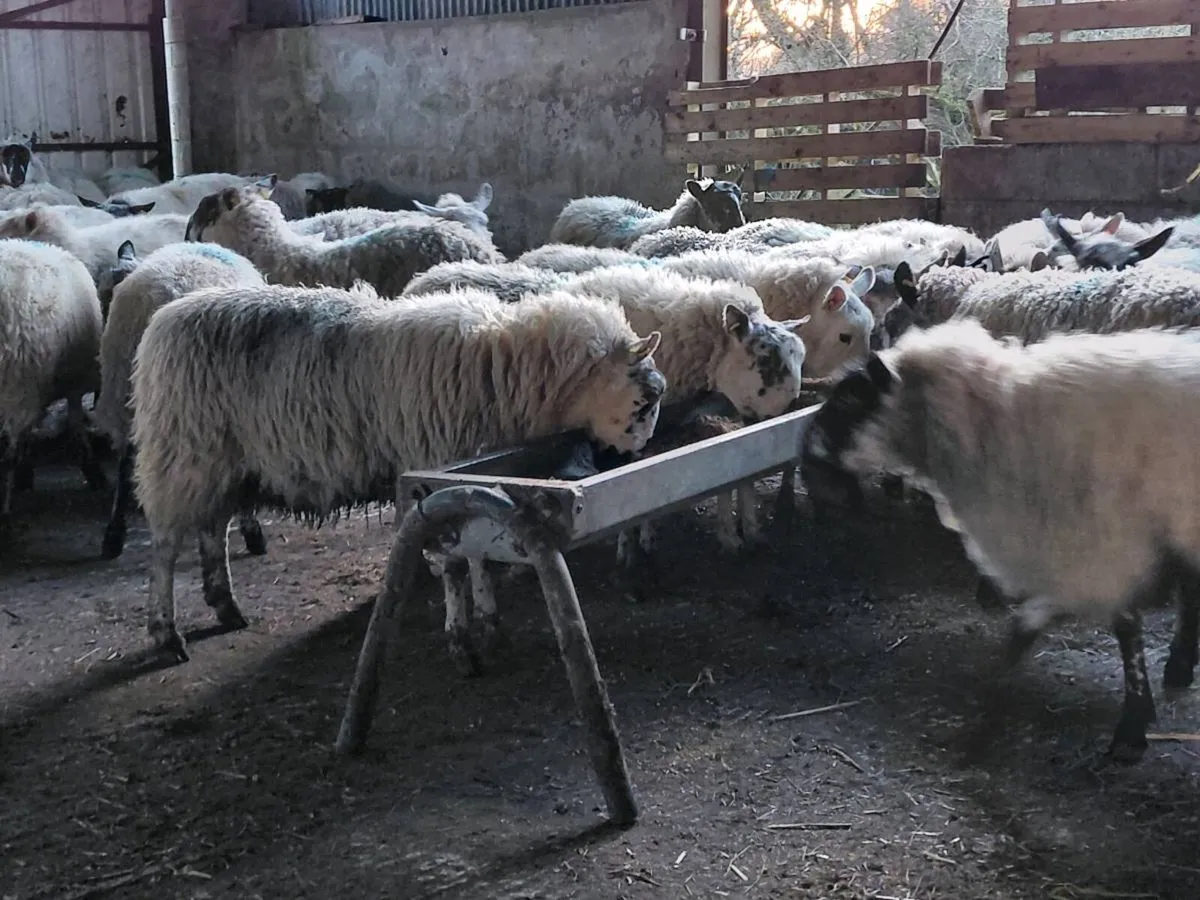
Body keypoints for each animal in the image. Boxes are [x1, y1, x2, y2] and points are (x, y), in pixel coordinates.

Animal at [129, 282, 666, 663]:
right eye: (645, 400)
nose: (632, 456)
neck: (507, 369)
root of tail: (164, 319)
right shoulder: (435, 470)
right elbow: (455, 564)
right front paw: (462, 640)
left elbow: (482, 556)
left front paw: (488, 621)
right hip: (183, 453)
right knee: (165, 546)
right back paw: (165, 632)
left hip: (223, 464)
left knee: (211, 529)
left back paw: (225, 605)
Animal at [800, 319, 1200, 761]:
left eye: (852, 398)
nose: (805, 450)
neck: (996, 422)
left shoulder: (1103, 541)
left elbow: (1120, 627)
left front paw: (1131, 727)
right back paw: (1181, 666)